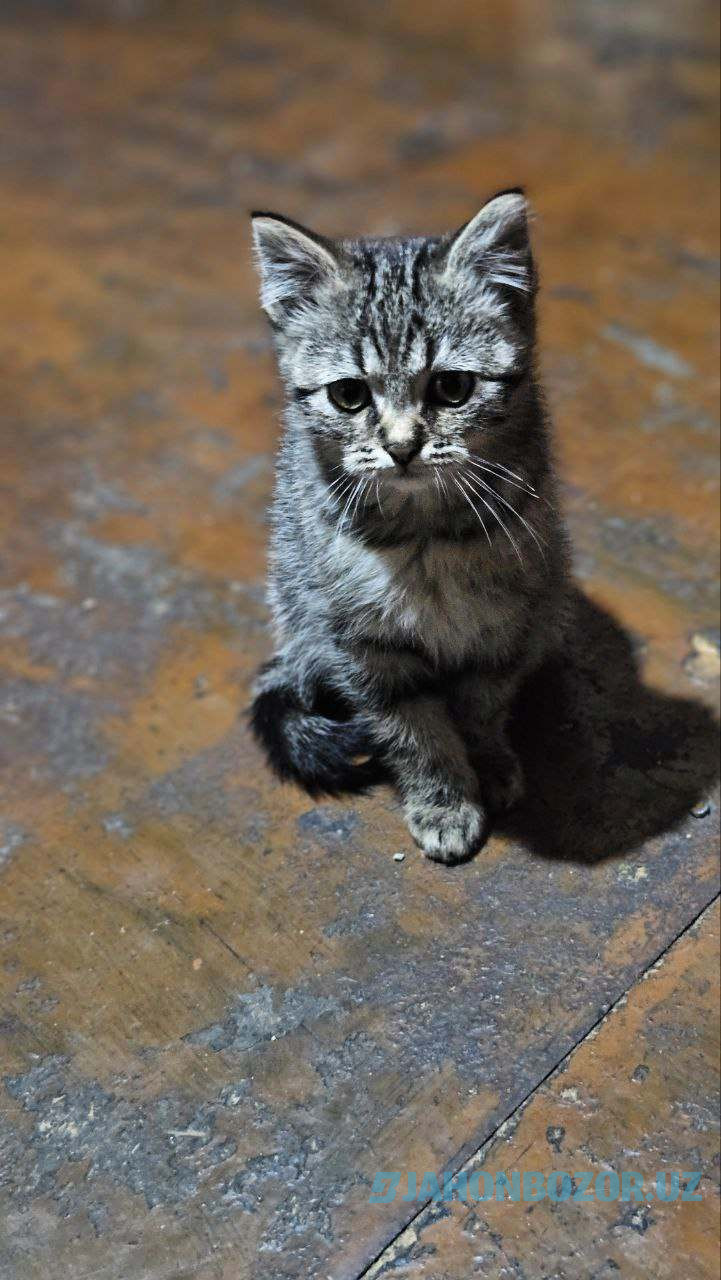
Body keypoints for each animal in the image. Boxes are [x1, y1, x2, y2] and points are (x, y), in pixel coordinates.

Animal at [248, 189, 571, 865]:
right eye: (348, 395)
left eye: (453, 386)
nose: (401, 447)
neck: (425, 539)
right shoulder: (362, 644)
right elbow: (414, 729)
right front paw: (443, 798)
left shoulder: (510, 620)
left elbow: (480, 706)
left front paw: (487, 762)